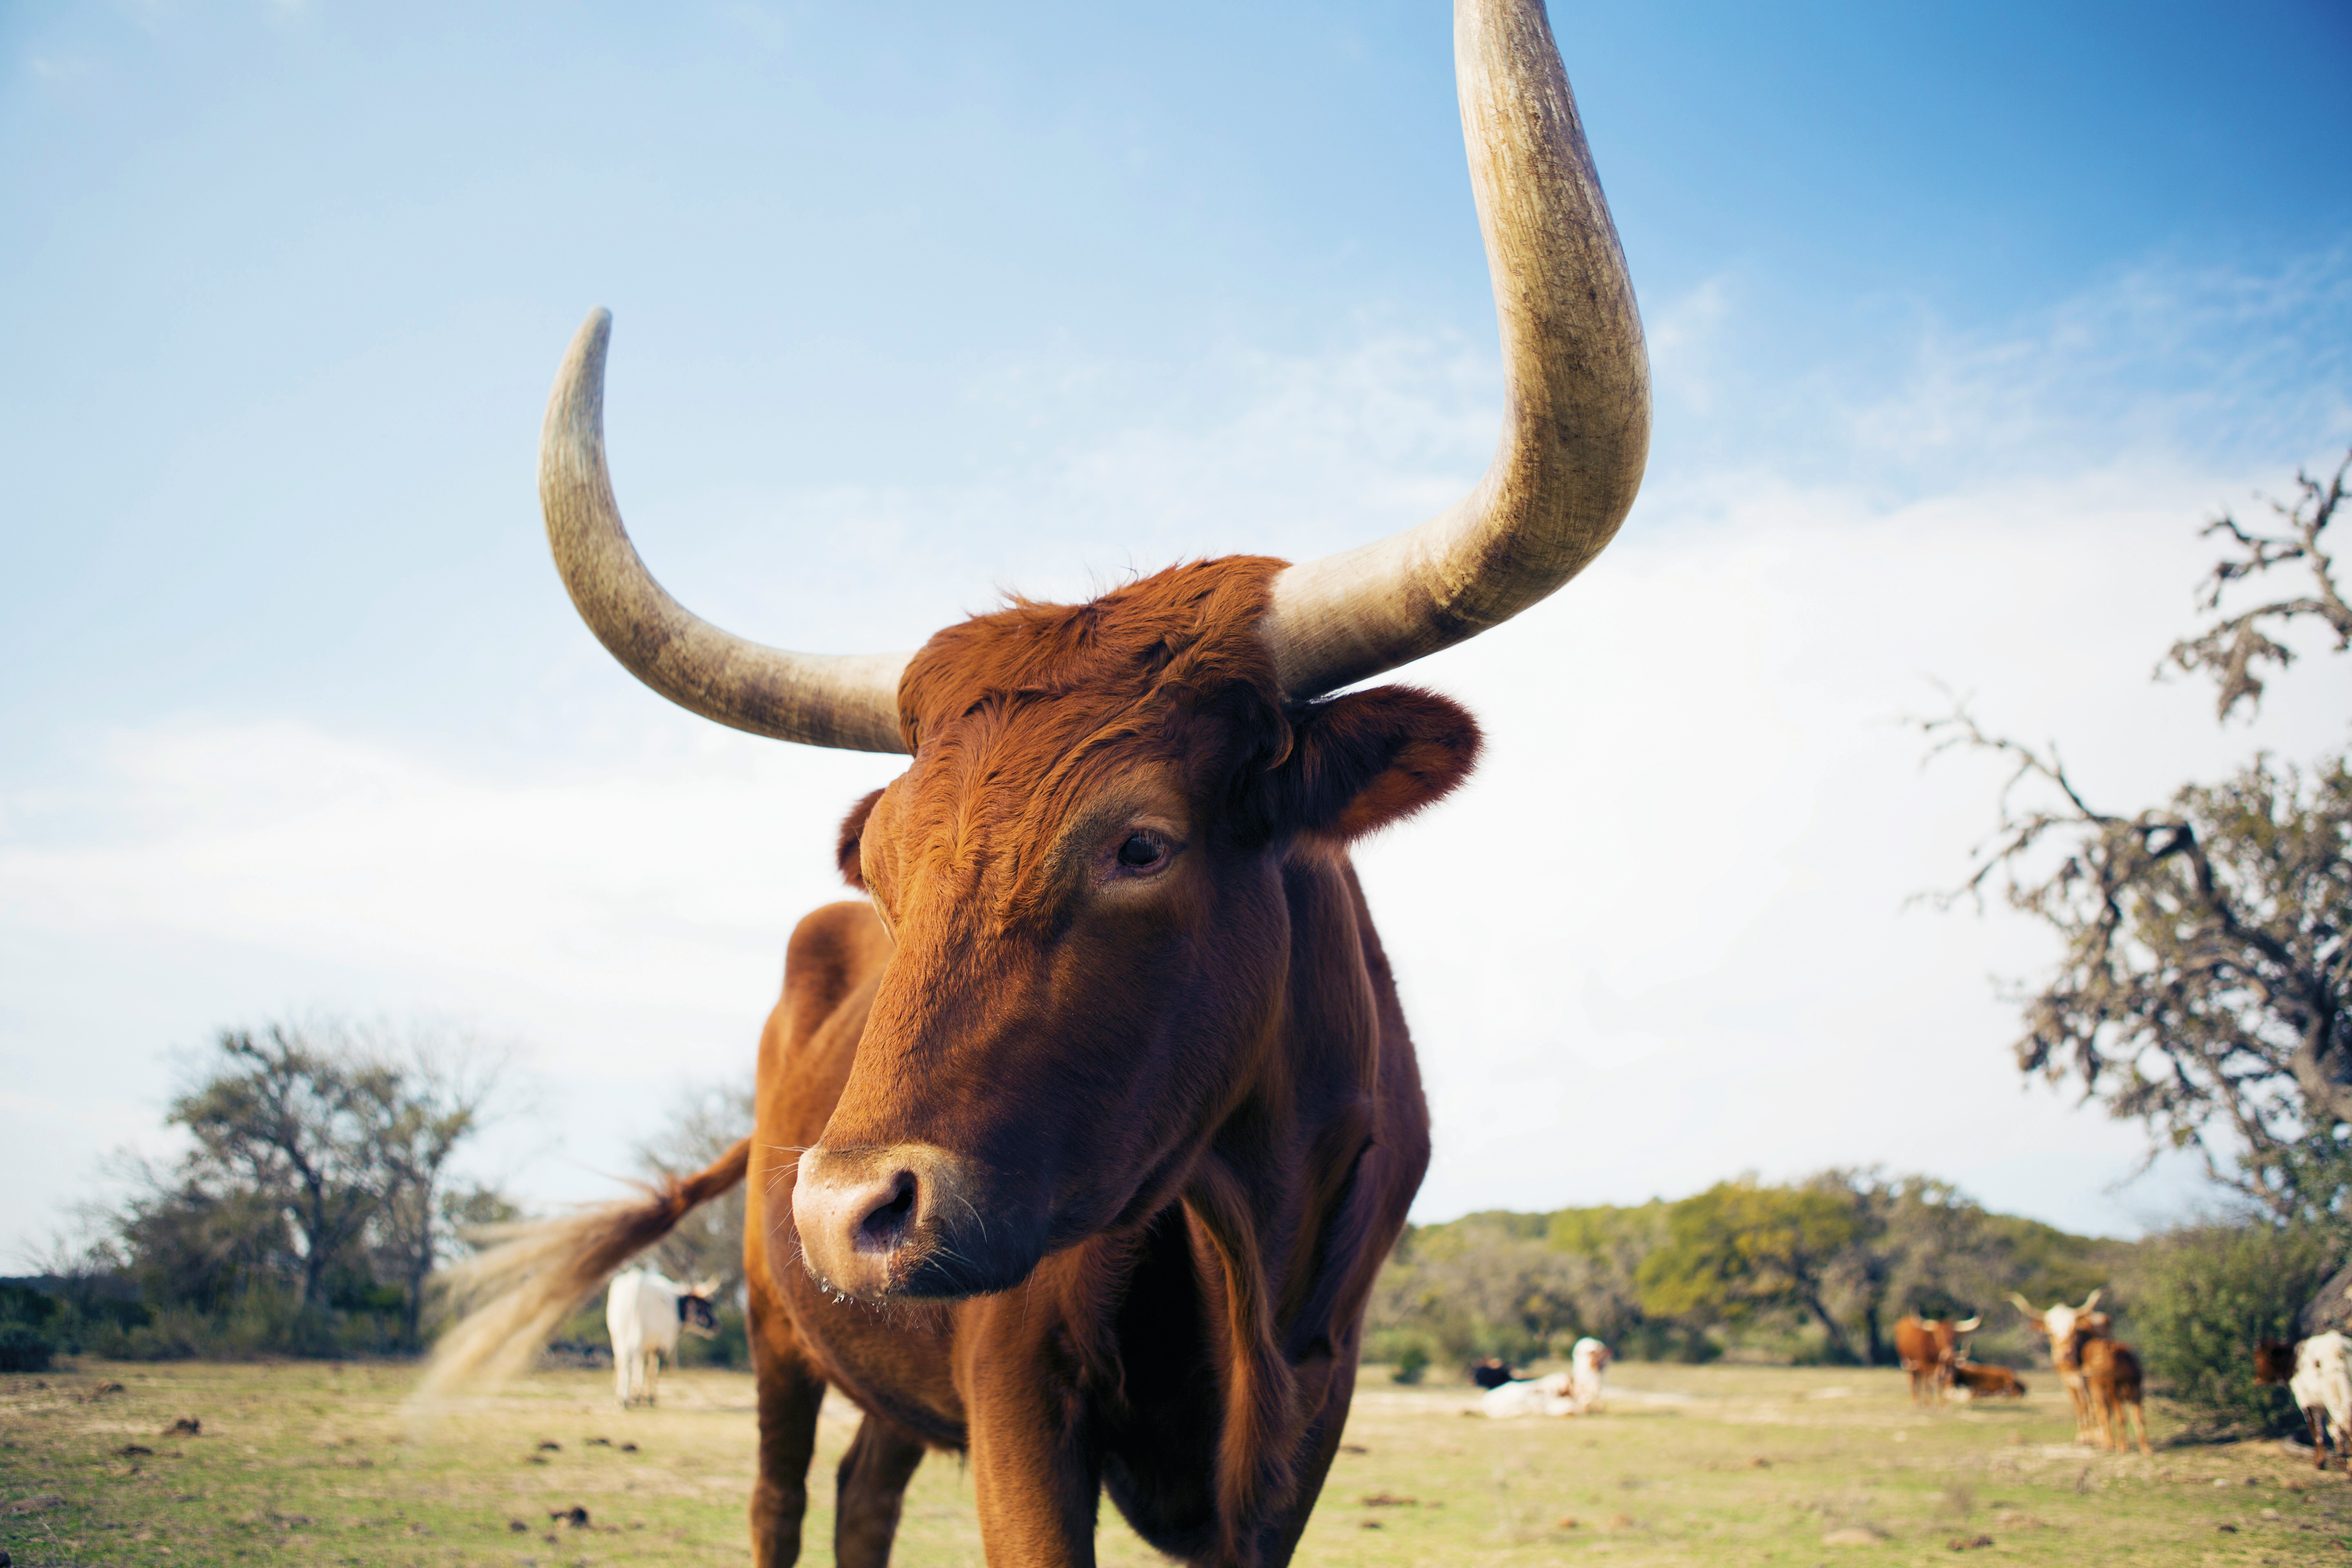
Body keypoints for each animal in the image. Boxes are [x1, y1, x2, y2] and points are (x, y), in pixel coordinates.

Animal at [602, 1278, 719, 1410]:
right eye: (705, 1305)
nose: (717, 1326)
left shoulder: (647, 1347)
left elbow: (641, 1367)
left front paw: (637, 1395)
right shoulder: (662, 1346)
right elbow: (653, 1370)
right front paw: (648, 1398)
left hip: (619, 1336)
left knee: (623, 1361)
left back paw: (621, 1398)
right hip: (637, 1336)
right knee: (630, 1360)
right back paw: (626, 1399)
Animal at [1882, 1316, 1976, 1410]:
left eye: (1955, 1337)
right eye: (1939, 1336)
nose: (1949, 1353)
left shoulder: (1944, 1366)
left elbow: (1941, 1382)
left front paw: (1943, 1406)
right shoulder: (1925, 1364)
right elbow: (1926, 1382)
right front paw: (1928, 1405)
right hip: (1907, 1363)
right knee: (1913, 1380)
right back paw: (1916, 1402)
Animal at [2013, 1288, 2107, 1448]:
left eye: (2074, 1330)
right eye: (2050, 1332)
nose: (2065, 1354)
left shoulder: (2087, 1381)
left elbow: (2090, 1405)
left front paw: (2097, 1438)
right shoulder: (2068, 1382)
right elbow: (2079, 1407)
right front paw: (2083, 1438)